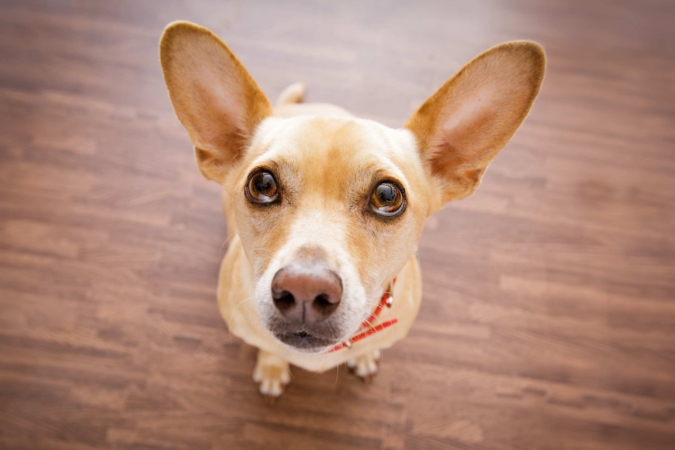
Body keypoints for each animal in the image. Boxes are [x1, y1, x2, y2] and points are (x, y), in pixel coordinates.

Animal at [161, 22, 548, 400]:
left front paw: (363, 355)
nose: (304, 288)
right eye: (263, 185)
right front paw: (271, 368)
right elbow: (269, 348)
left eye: (387, 195)